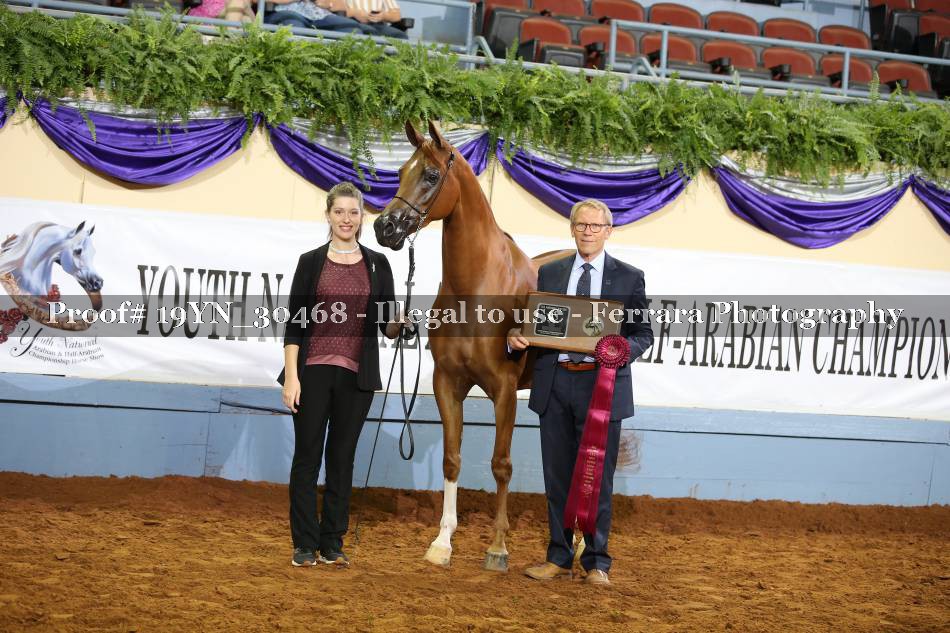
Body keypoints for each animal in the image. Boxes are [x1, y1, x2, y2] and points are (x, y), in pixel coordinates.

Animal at [373, 120, 569, 572]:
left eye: (431, 175)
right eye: (400, 172)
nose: (384, 227)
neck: (477, 290)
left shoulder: (503, 391)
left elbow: (500, 465)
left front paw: (498, 547)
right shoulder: (448, 383)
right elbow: (452, 458)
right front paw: (442, 542)